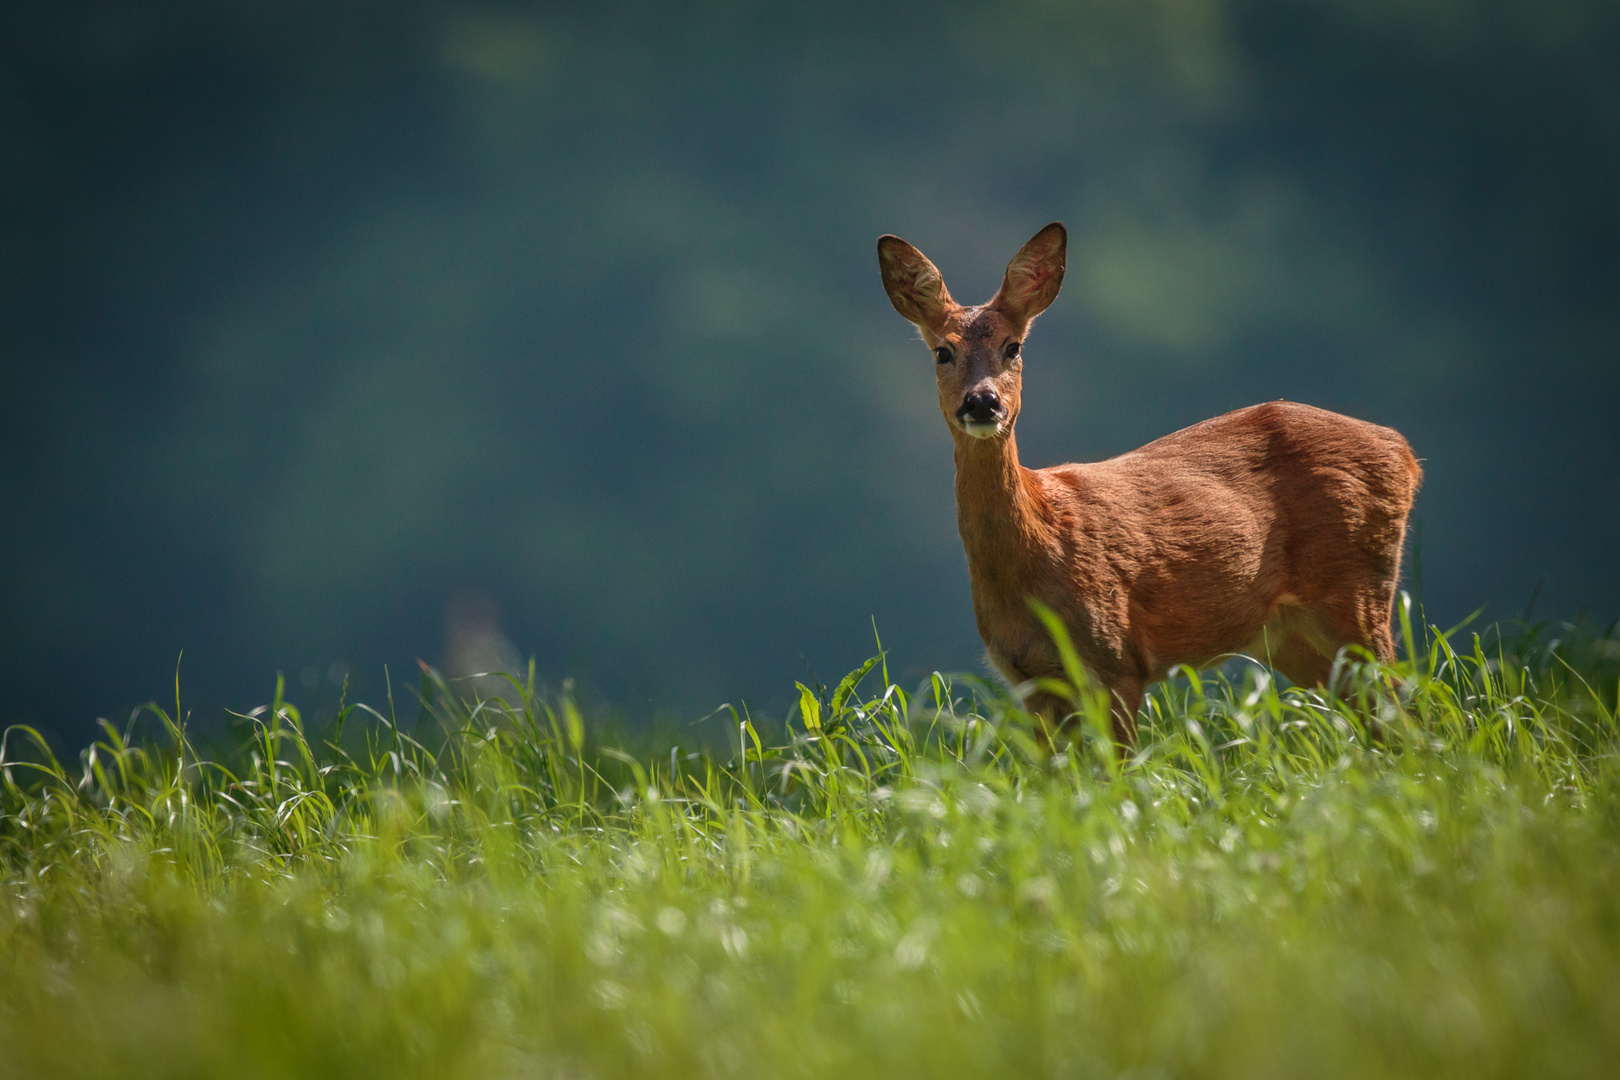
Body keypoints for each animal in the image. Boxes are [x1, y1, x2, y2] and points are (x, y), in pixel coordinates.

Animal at [881, 223, 1425, 748]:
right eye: (942, 351)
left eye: (1013, 347)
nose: (982, 402)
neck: (1041, 540)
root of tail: (1403, 451)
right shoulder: (1030, 681)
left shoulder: (1118, 659)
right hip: (1290, 635)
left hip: (1356, 585)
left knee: (1405, 710)